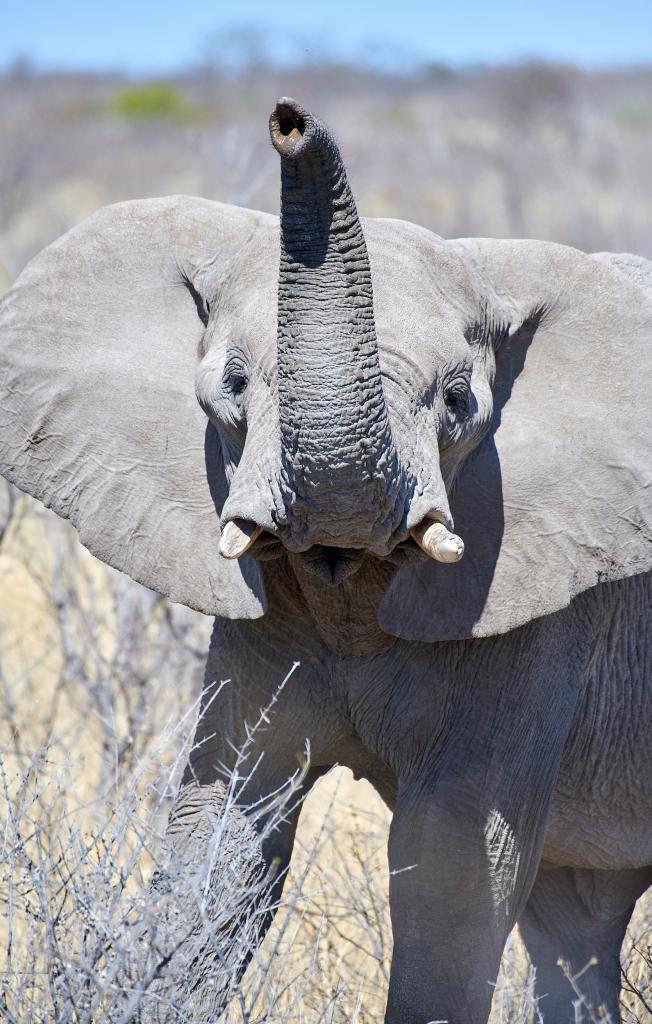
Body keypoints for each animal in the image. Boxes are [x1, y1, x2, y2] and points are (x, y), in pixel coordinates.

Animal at [1, 97, 650, 1024]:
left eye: (461, 402)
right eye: (232, 386)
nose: (288, 120)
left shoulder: (543, 604)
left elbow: (452, 859)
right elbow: (222, 826)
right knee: (574, 926)